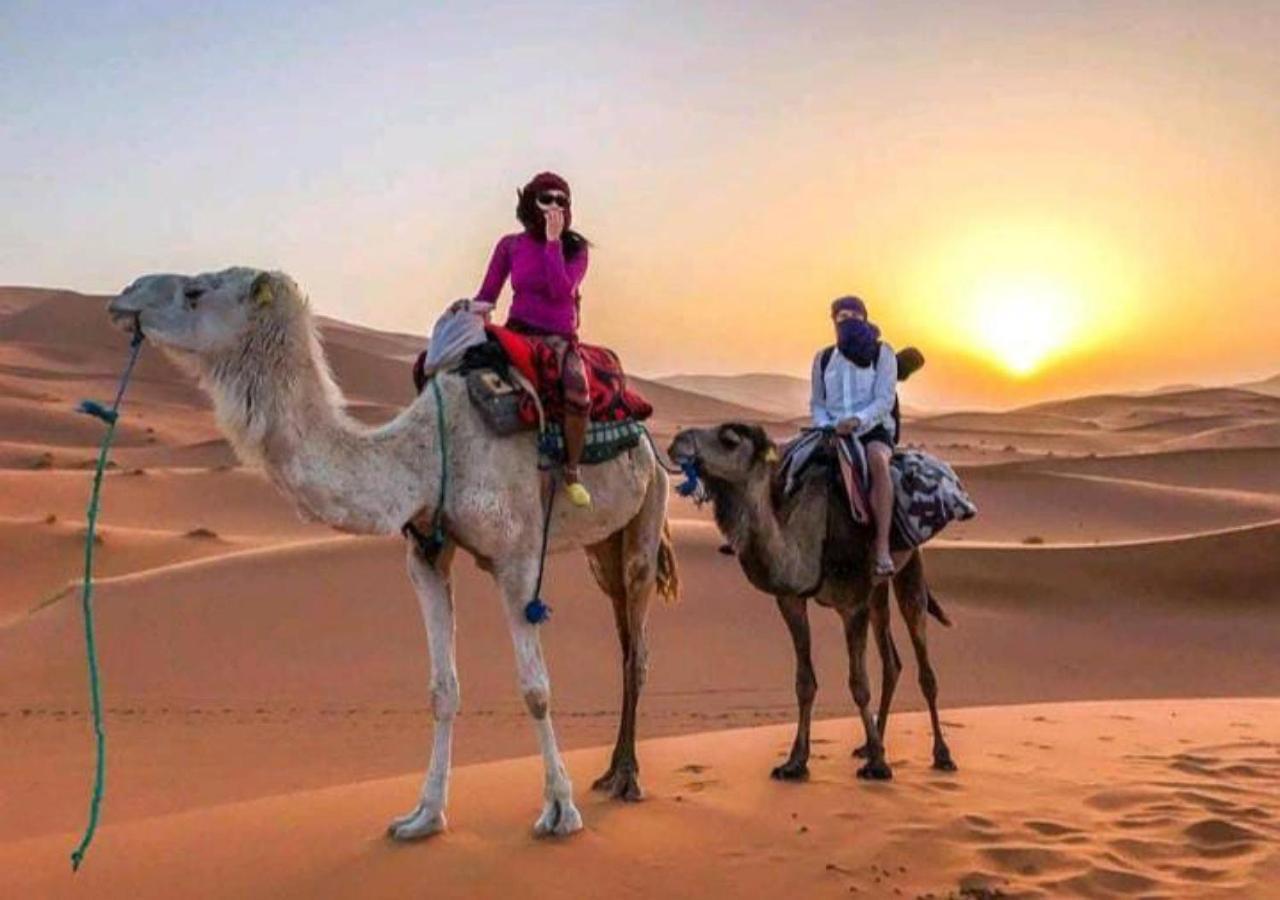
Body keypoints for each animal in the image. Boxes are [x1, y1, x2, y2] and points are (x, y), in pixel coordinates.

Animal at [107, 266, 680, 839]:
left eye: (194, 292)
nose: (125, 296)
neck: (423, 457)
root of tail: (647, 435)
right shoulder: (425, 556)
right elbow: (442, 690)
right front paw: (424, 814)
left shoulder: (516, 555)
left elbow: (535, 688)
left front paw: (560, 810)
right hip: (601, 546)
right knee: (625, 638)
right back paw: (610, 772)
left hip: (648, 509)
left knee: (639, 647)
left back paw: (628, 780)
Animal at [665, 422, 957, 783]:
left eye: (729, 439)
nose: (677, 442)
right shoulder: (791, 600)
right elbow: (804, 682)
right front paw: (795, 762)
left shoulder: (852, 605)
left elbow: (859, 684)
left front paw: (878, 765)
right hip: (877, 590)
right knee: (892, 662)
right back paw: (870, 744)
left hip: (909, 566)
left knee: (923, 665)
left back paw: (941, 754)